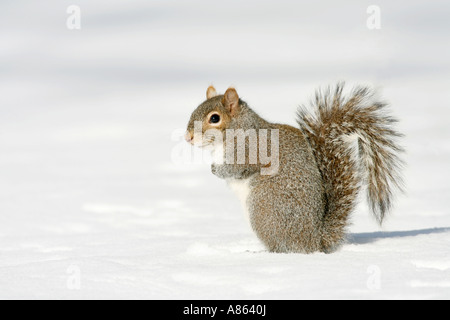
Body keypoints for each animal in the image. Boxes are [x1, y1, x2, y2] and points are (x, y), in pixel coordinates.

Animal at [185, 84, 402, 254]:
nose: (188, 137)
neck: (237, 129)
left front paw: (215, 170)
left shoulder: (250, 151)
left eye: (214, 118)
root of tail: (314, 241)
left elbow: (236, 169)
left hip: (263, 207)